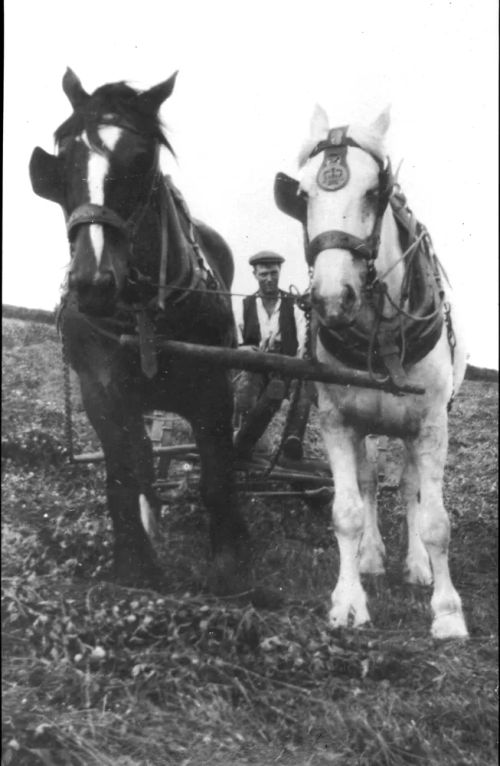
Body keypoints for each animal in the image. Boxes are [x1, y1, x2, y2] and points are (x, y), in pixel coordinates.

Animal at [27, 70, 250, 592]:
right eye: (64, 154)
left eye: (142, 158)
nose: (93, 282)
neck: (142, 313)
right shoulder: (102, 393)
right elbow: (124, 475)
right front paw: (136, 563)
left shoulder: (213, 388)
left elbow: (218, 475)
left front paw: (229, 565)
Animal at [276, 105, 466, 640]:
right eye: (303, 195)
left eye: (373, 192)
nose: (331, 299)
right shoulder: (338, 423)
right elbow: (347, 511)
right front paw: (348, 600)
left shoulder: (432, 424)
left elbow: (435, 518)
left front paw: (447, 611)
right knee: (368, 483)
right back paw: (372, 556)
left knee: (408, 486)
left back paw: (416, 565)